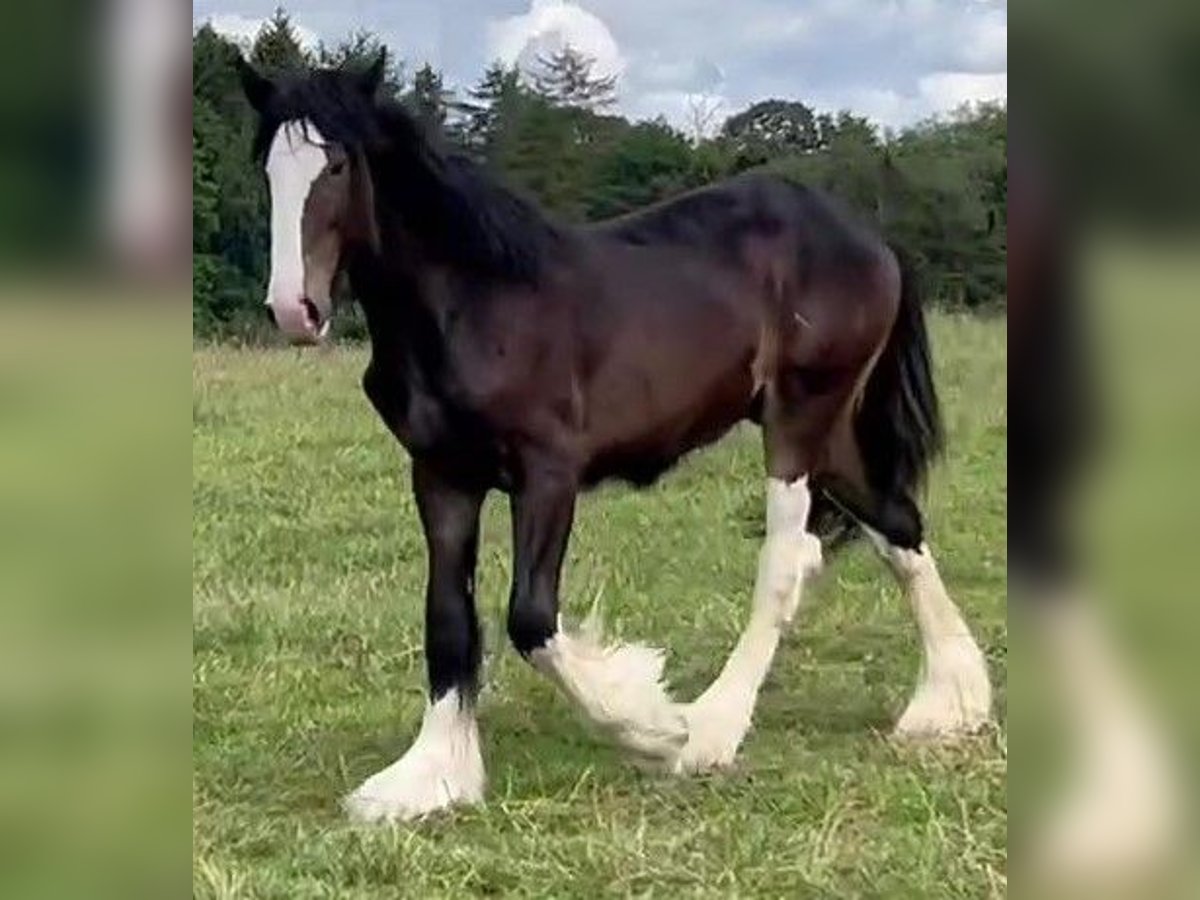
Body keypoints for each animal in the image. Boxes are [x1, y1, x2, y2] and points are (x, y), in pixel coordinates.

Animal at [238, 58, 988, 825]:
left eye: (335, 164)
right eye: (267, 167)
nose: (295, 310)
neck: (473, 303)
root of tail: (869, 238)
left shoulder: (547, 474)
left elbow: (531, 619)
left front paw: (651, 724)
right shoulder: (442, 476)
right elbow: (448, 620)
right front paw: (429, 777)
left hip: (800, 420)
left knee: (787, 560)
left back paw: (710, 729)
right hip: (828, 436)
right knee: (897, 523)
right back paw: (950, 703)